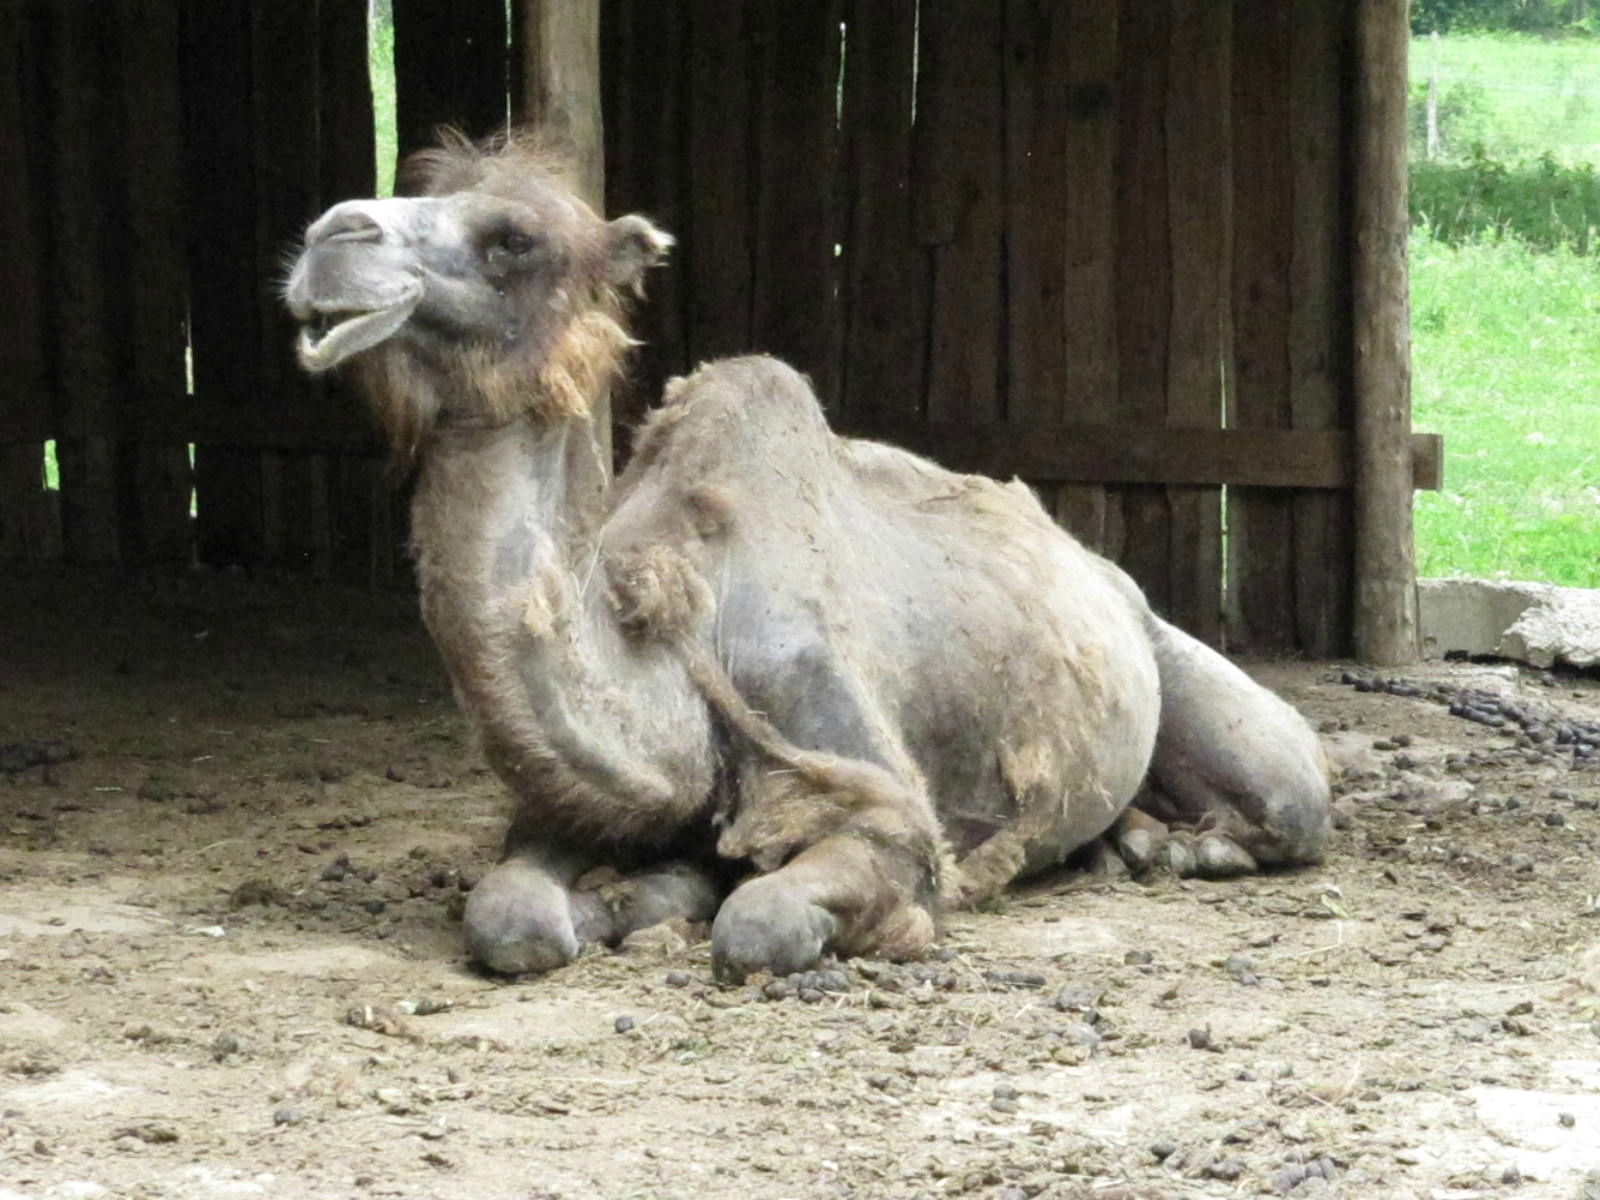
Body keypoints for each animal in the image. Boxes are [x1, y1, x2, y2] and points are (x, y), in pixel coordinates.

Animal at [281, 131, 1331, 979]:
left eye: (514, 240)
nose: (331, 235)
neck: (680, 637)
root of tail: (1098, 567)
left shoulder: (881, 804)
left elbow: (762, 923)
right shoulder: (568, 809)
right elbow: (512, 918)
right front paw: (628, 901)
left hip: (1205, 691)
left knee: (1293, 796)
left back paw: (1180, 850)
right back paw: (1128, 844)